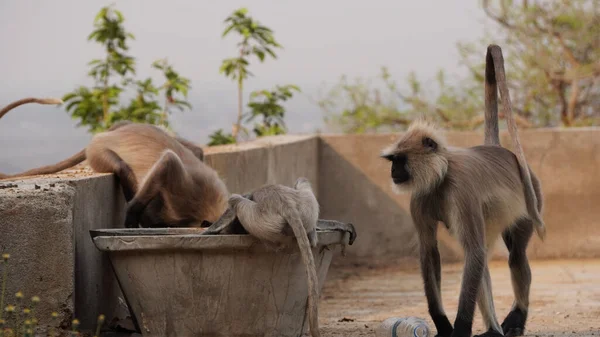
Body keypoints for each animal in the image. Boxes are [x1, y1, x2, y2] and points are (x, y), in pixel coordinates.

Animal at [382, 44, 548, 336]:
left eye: (400, 160)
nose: (393, 172)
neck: (441, 177)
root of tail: (499, 149)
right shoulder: (420, 198)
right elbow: (430, 252)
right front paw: (442, 323)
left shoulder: (462, 190)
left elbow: (474, 252)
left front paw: (460, 328)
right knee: (482, 262)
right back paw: (493, 329)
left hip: (532, 198)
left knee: (513, 256)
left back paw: (517, 316)